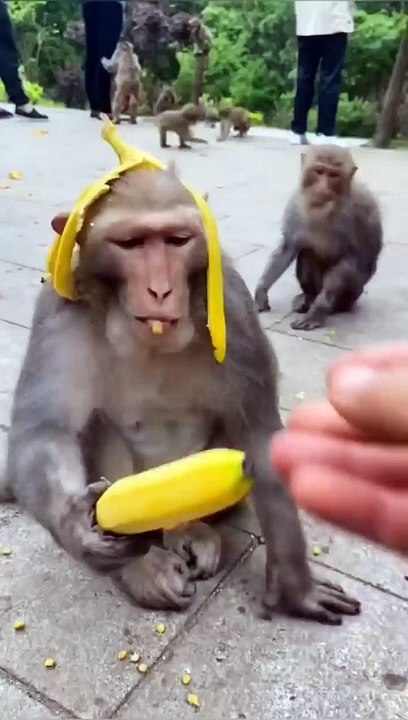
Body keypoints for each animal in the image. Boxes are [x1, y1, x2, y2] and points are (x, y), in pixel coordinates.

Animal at [3, 159, 361, 625]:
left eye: (176, 240)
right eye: (130, 243)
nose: (160, 289)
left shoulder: (232, 303)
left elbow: (259, 429)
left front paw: (294, 588)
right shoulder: (58, 307)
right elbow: (46, 432)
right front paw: (77, 526)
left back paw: (191, 531)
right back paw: (143, 568)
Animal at [254, 145, 383, 331]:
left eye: (334, 175)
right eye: (319, 171)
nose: (322, 188)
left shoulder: (364, 212)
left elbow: (355, 260)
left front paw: (317, 312)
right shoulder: (295, 204)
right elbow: (288, 247)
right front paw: (261, 291)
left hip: (354, 294)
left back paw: (332, 307)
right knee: (307, 253)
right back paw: (307, 298)